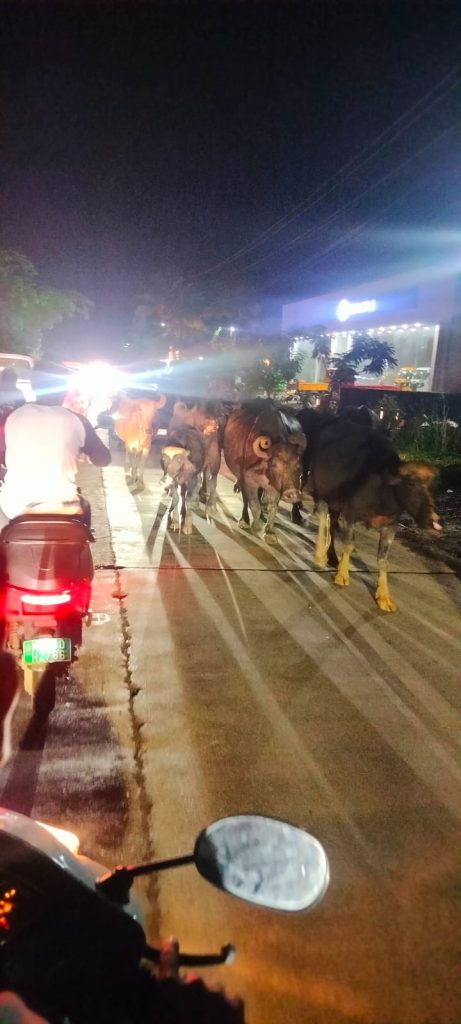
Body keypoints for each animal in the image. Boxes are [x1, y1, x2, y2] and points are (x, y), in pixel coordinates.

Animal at [222, 399, 306, 544]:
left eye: (298, 464)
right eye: (274, 464)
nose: (293, 493)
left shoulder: (276, 486)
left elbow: (273, 507)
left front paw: (270, 532)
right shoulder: (248, 480)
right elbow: (253, 504)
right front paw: (254, 525)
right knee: (247, 499)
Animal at [308, 415, 441, 612]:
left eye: (432, 487)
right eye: (410, 483)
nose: (434, 521)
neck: (382, 492)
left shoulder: (390, 526)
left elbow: (383, 560)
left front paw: (384, 596)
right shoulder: (350, 514)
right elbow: (349, 544)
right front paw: (342, 575)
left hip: (336, 503)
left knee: (331, 524)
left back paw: (332, 557)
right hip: (320, 490)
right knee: (323, 517)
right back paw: (319, 555)